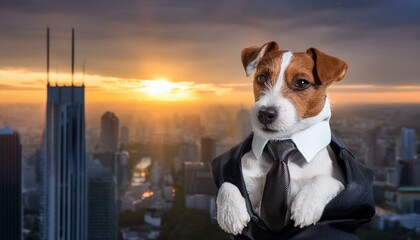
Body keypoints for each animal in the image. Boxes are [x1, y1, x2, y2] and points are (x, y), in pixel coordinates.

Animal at [215, 41, 346, 234]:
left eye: (302, 82)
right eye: (261, 78)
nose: (265, 114)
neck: (282, 146)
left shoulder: (342, 183)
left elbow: (323, 179)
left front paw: (306, 204)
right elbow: (228, 184)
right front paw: (230, 212)